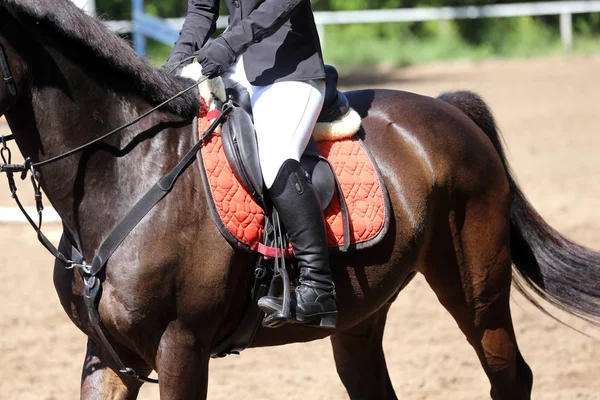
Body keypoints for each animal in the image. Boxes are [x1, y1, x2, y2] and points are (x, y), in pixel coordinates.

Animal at [0, 1, 596, 398]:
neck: (129, 169)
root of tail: (451, 109)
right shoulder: (106, 354)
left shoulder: (181, 347)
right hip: (361, 315)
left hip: (476, 292)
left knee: (511, 376)